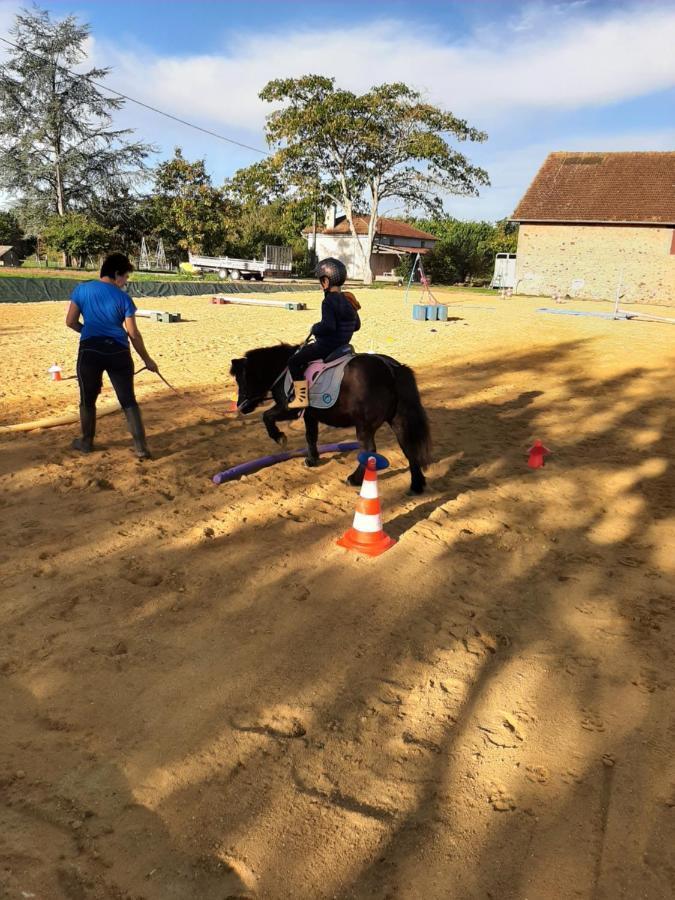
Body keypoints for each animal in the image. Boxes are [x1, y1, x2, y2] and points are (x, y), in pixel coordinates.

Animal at [231, 342, 434, 496]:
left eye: (242, 379)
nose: (241, 406)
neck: (283, 370)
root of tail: (391, 369)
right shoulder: (310, 415)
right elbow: (310, 436)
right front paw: (312, 460)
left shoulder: (289, 409)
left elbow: (267, 417)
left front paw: (279, 437)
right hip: (398, 421)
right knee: (409, 448)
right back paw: (416, 485)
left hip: (365, 425)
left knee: (369, 450)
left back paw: (354, 479)